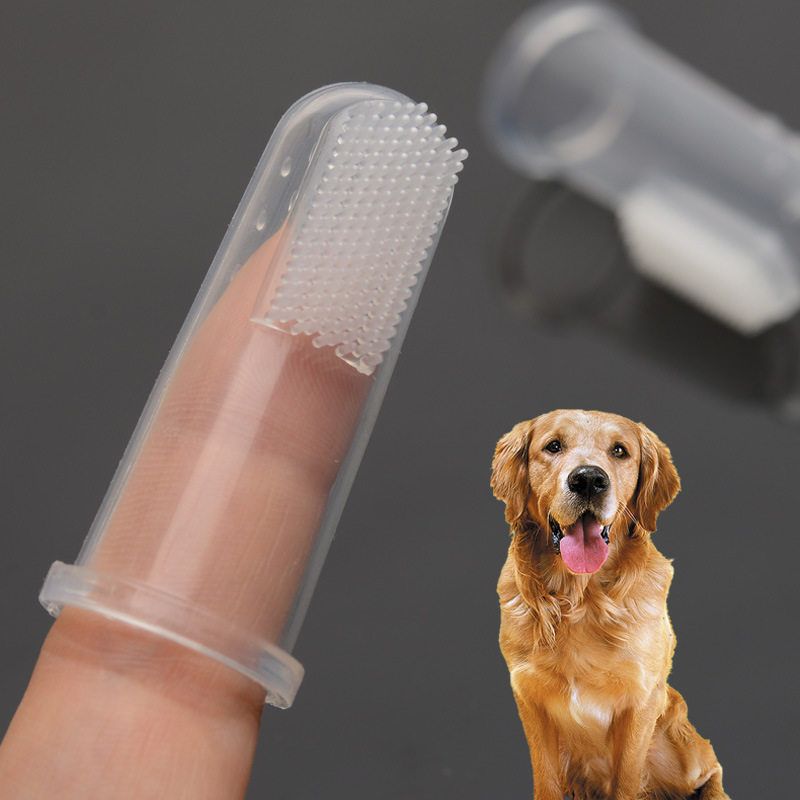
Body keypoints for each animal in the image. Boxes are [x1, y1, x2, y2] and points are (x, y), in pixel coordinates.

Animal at [490, 412, 728, 800]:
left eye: (620, 451)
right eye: (553, 446)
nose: (588, 479)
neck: (580, 597)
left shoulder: (639, 701)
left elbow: (627, 778)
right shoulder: (529, 695)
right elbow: (547, 779)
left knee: (711, 770)